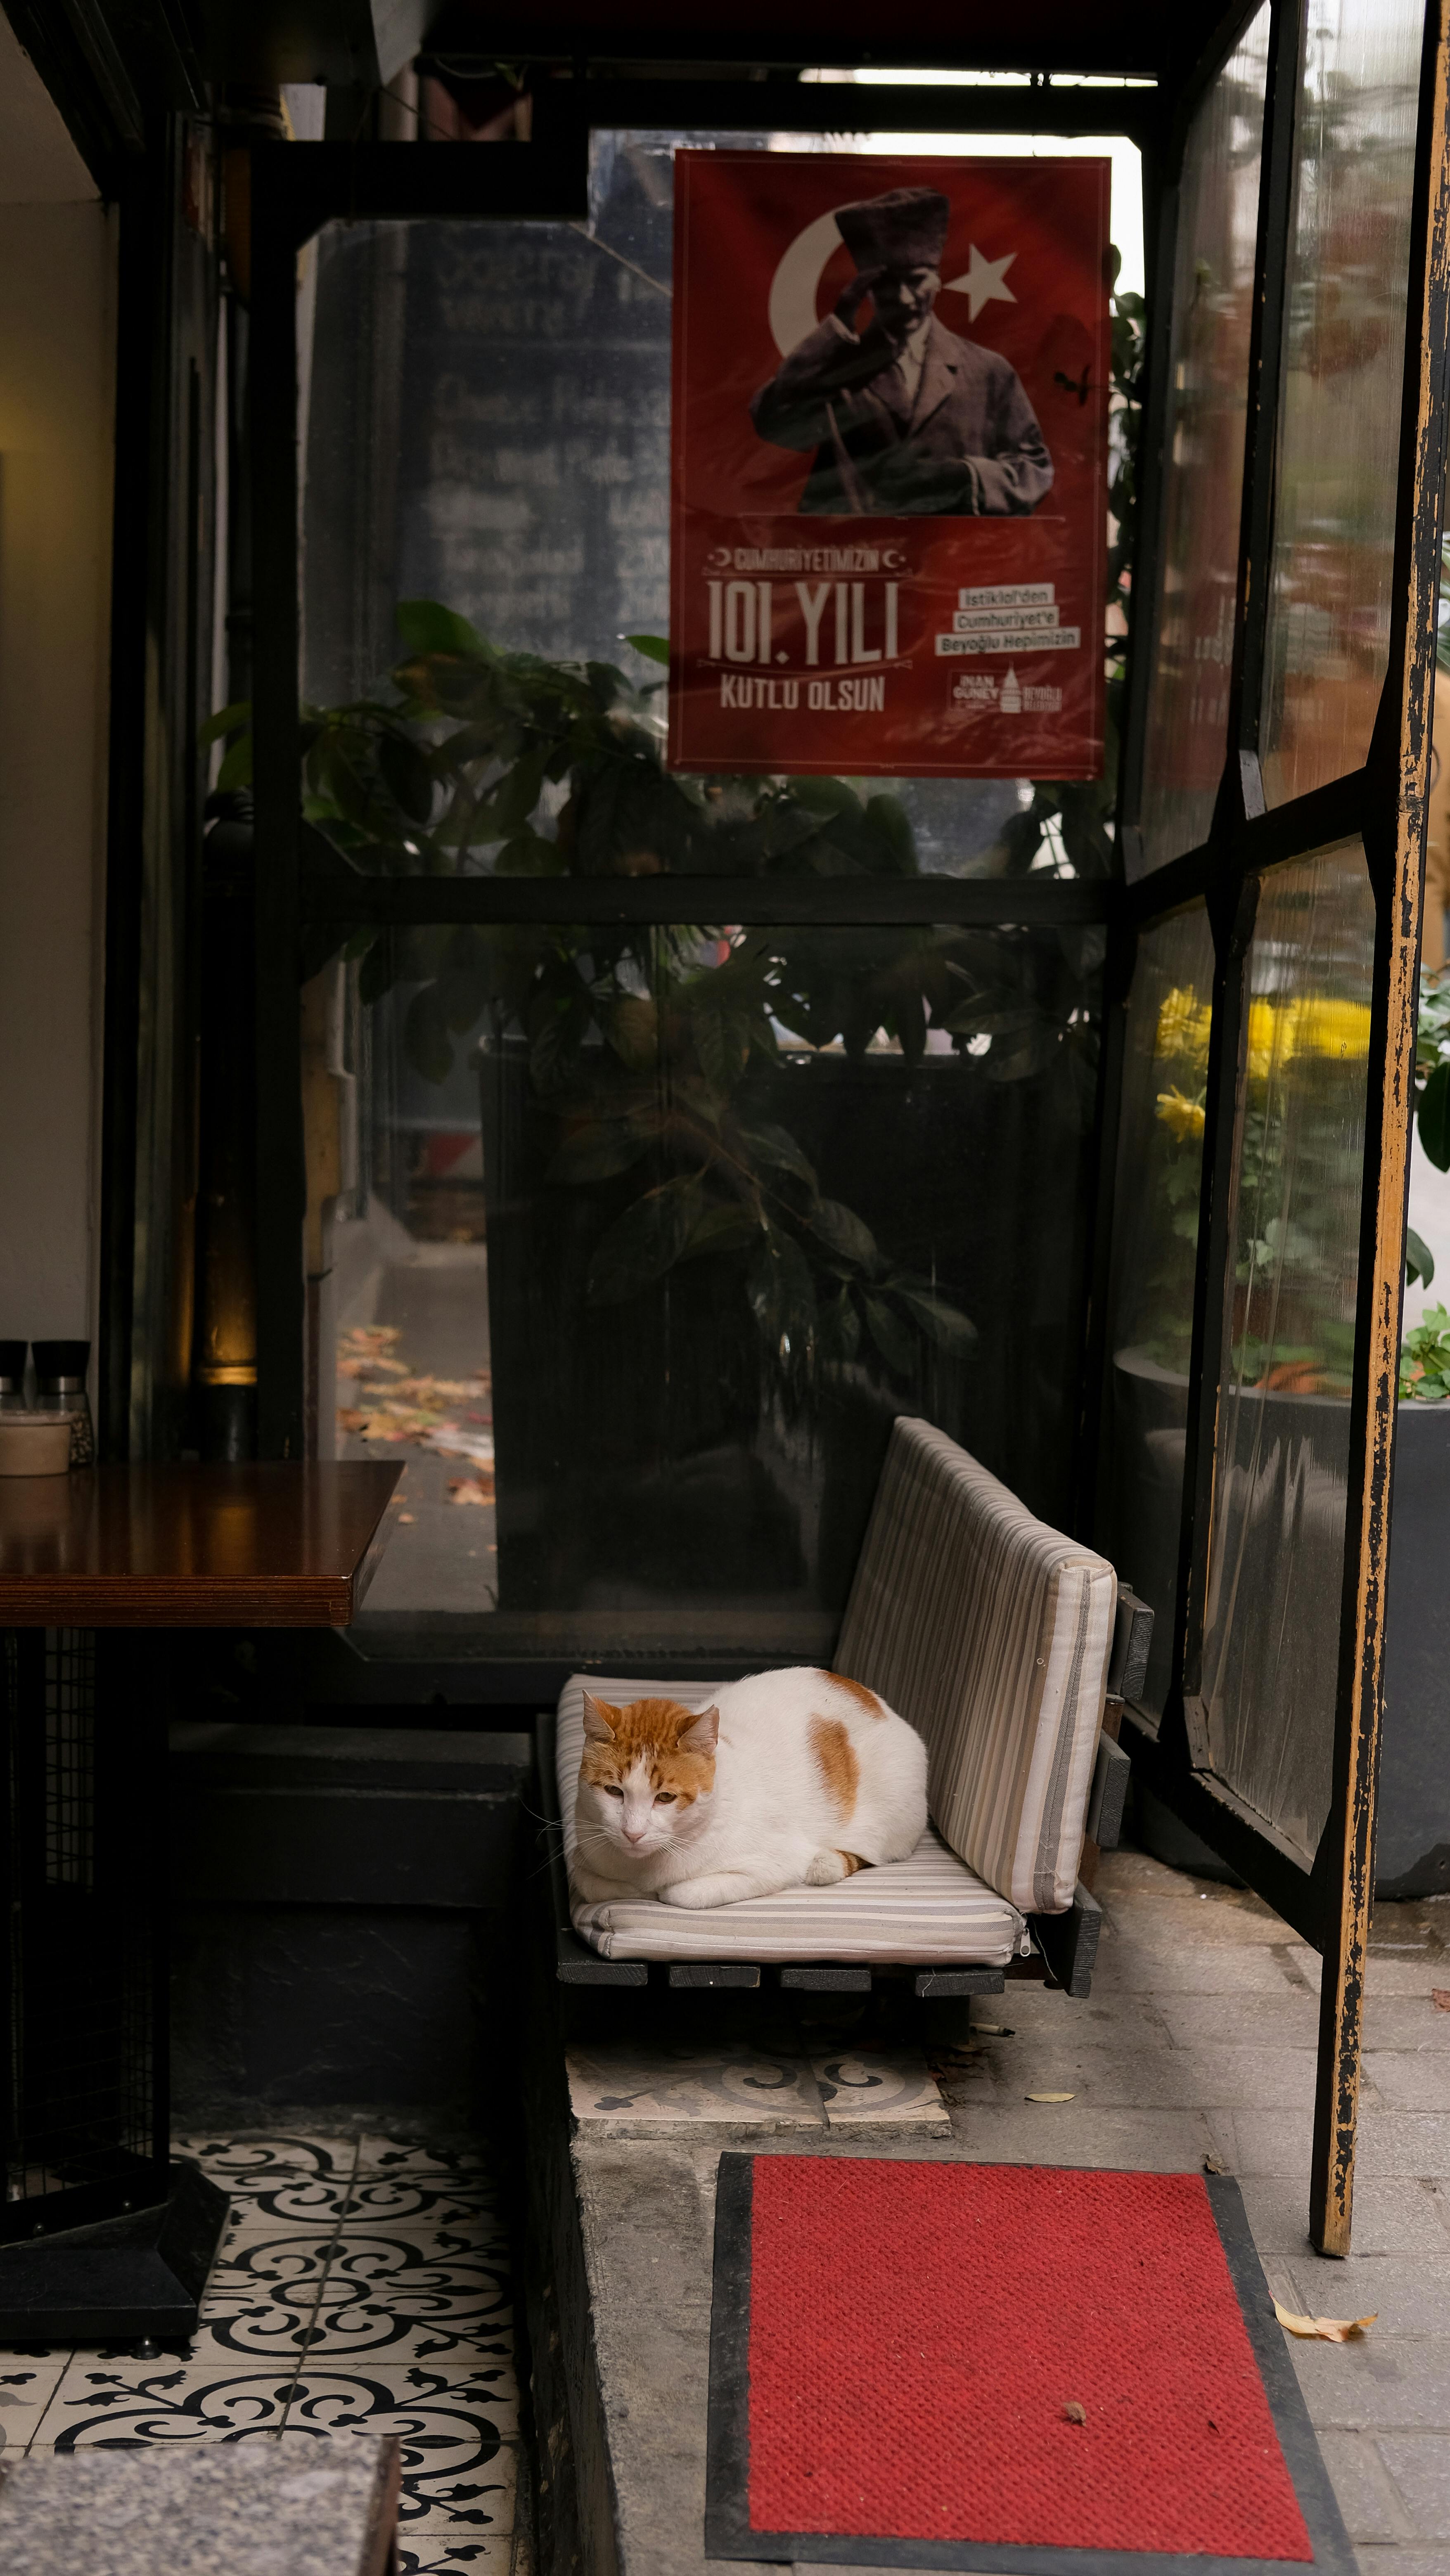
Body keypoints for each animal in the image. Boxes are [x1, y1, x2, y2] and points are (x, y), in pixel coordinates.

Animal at [569, 1669, 932, 1916]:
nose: (633, 1833)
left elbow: (680, 1894)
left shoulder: (775, 1865)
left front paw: (658, 1893)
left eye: (665, 1798)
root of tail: (873, 1699)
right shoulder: (582, 1857)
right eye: (614, 1791)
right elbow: (590, 1883)